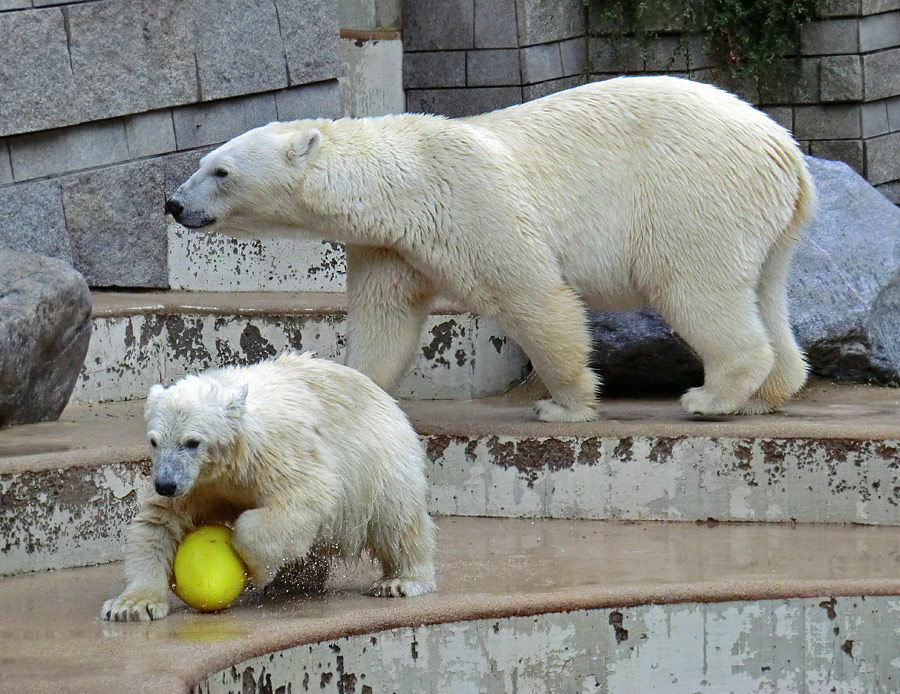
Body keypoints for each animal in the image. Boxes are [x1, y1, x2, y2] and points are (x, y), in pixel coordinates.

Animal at [165, 76, 812, 424]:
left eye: (220, 171)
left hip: (693, 197)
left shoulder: (473, 197)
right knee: (765, 293)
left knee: (695, 288)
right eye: (200, 162)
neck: (404, 181)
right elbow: (384, 321)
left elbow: (534, 295)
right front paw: (353, 391)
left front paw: (565, 406)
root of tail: (786, 149)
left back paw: (713, 397)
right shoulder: (387, 245)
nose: (173, 204)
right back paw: (767, 393)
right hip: (765, 222)